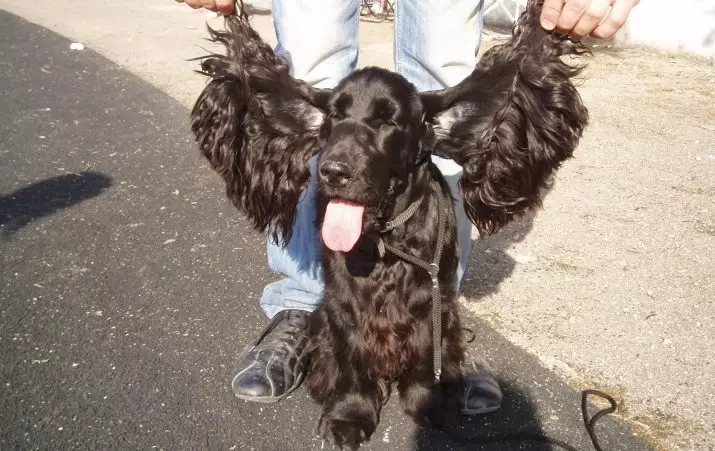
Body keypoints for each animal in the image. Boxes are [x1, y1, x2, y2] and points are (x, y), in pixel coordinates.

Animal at [190, 1, 588, 450]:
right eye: (333, 116)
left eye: (387, 122)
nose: (333, 170)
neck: (384, 239)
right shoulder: (344, 307)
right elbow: (353, 365)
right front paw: (349, 417)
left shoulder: (431, 301)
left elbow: (426, 361)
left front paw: (426, 406)